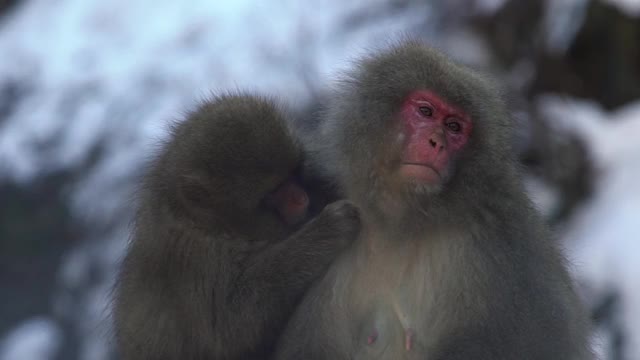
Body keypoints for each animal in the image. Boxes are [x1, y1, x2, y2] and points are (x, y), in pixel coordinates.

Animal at [110, 93, 360, 360]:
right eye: (271, 193)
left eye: (295, 172)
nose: (300, 199)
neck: (208, 223)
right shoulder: (193, 258)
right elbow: (230, 324)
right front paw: (326, 230)